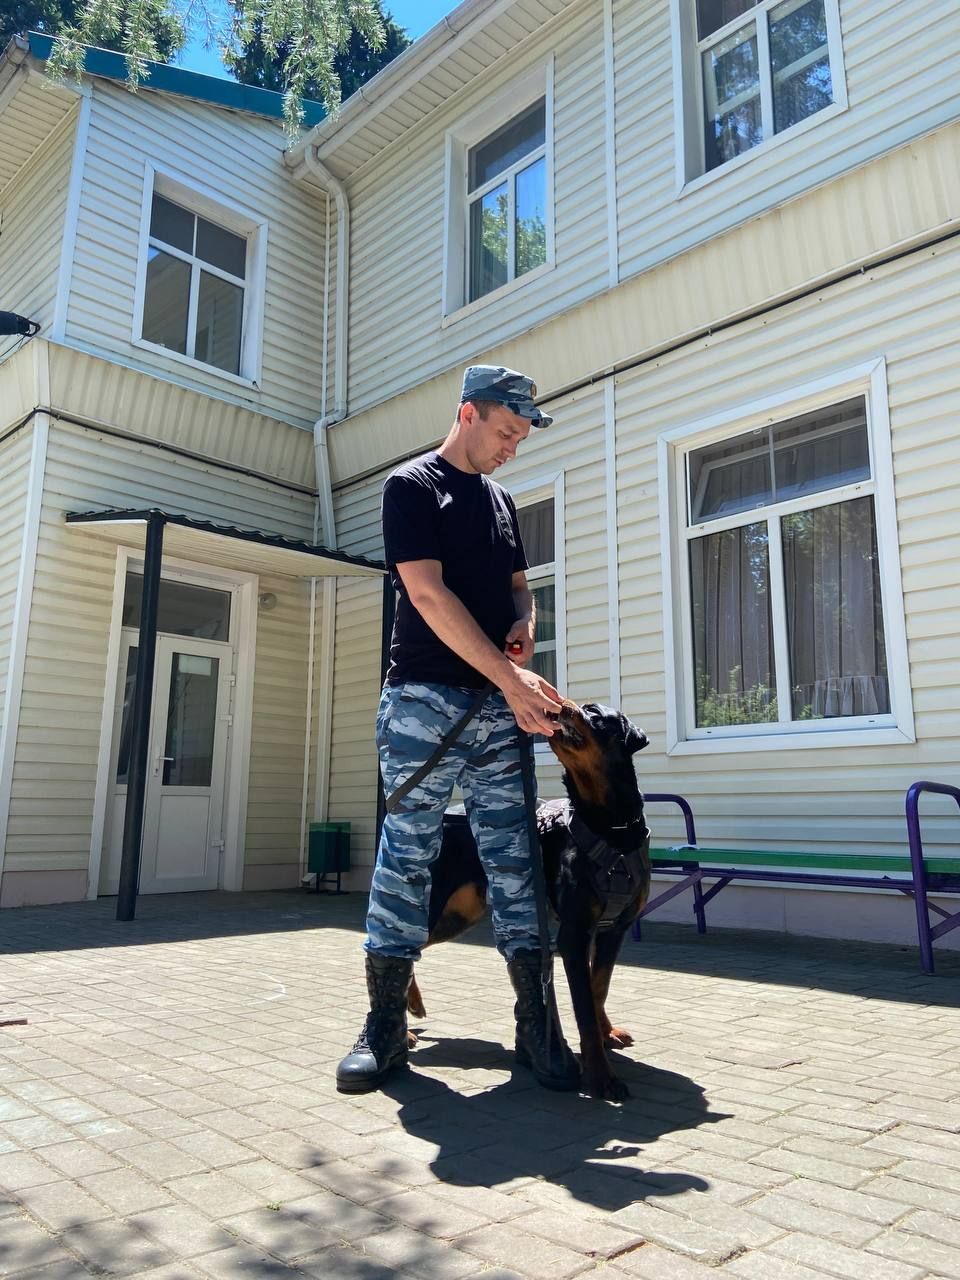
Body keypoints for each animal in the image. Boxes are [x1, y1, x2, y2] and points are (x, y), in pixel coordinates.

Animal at [407, 699, 651, 1101]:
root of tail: (445, 818)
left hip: (460, 913)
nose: (563, 704)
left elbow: (598, 988)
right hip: (435, 901)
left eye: (595, 714)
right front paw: (601, 1078)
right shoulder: (573, 934)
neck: (609, 824)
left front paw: (607, 1033)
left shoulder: (614, 928)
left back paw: (413, 1007)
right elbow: (584, 1008)